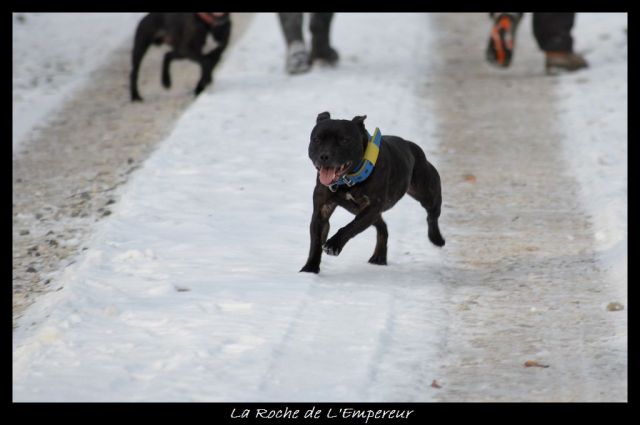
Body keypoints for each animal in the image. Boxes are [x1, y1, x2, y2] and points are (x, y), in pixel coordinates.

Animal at [302, 111, 444, 274]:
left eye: (344, 140)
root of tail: (410, 145)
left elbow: (352, 226)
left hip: (426, 192)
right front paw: (310, 269)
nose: (324, 156)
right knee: (382, 227)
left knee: (432, 213)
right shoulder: (322, 211)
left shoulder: (372, 207)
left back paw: (436, 238)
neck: (348, 181)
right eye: (317, 139)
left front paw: (334, 244)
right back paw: (379, 257)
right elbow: (316, 241)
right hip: (363, 211)